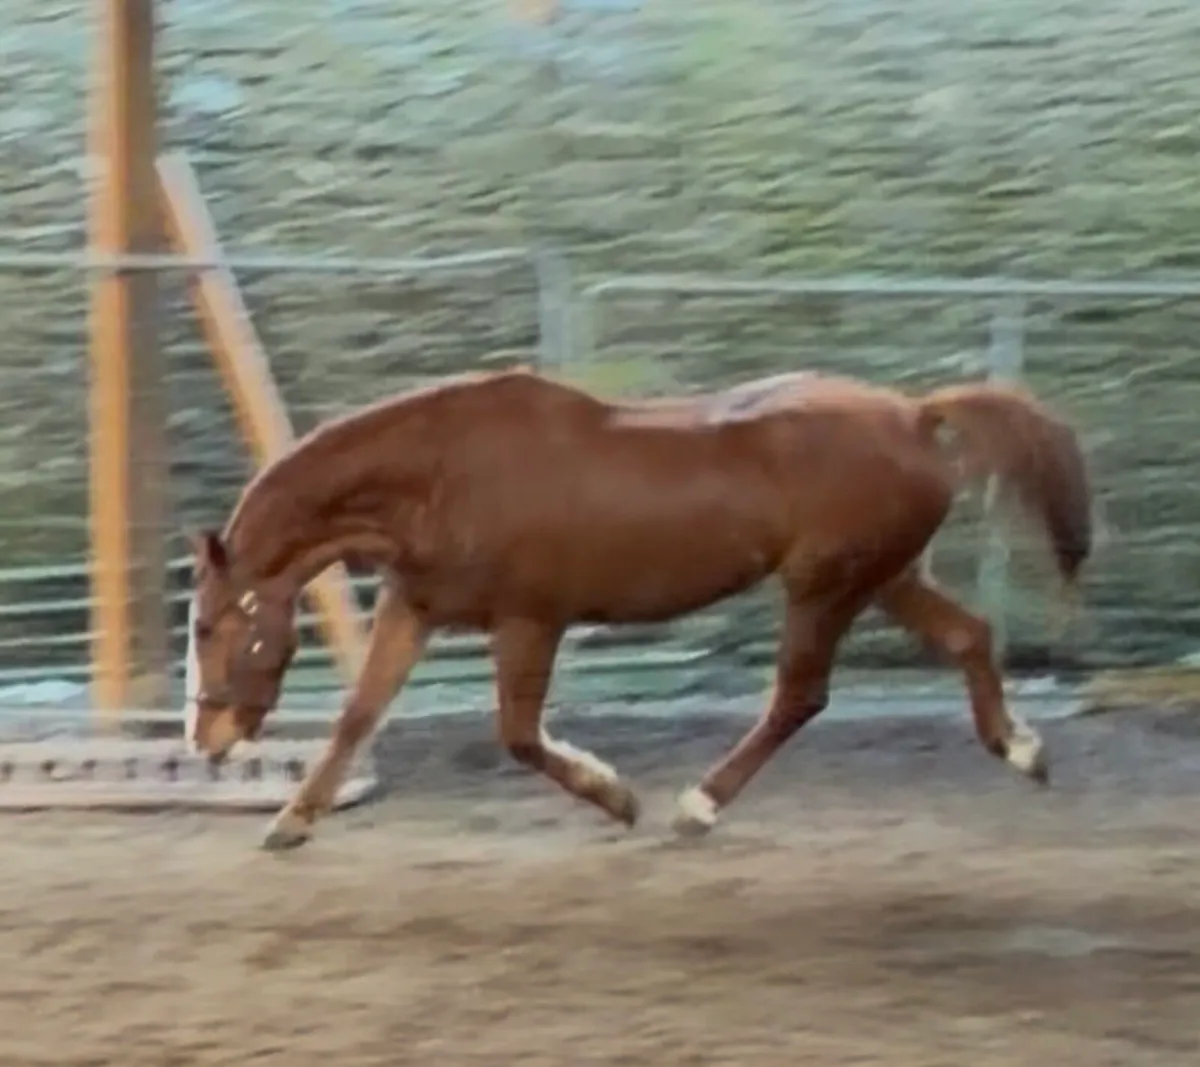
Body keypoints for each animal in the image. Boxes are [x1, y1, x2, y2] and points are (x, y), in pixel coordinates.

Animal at [185, 367, 1091, 851]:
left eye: (205, 624)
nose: (207, 738)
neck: (441, 477)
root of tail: (915, 415)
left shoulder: (531, 618)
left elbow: (520, 735)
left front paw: (618, 797)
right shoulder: (416, 608)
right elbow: (358, 713)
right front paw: (291, 821)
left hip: (827, 586)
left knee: (799, 696)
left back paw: (698, 805)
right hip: (884, 577)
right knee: (969, 635)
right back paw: (1022, 750)